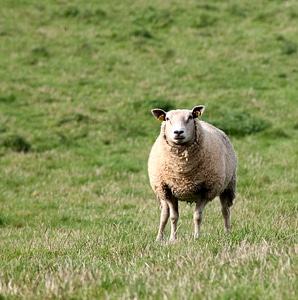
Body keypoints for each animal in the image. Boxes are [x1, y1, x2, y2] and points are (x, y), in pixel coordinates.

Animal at [149, 105, 237, 241]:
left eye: (190, 117)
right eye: (167, 118)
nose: (178, 132)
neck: (182, 170)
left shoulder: (206, 191)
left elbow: (197, 217)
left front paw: (197, 237)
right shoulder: (168, 190)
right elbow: (173, 217)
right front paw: (173, 239)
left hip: (228, 186)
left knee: (225, 210)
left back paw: (228, 233)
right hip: (161, 191)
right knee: (164, 214)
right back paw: (159, 238)